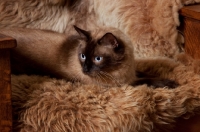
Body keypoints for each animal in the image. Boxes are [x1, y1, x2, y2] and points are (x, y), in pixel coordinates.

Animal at [0, 26, 178, 87]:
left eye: (97, 59)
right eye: (83, 56)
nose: (85, 70)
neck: (122, 70)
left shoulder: (131, 74)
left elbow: (147, 74)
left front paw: (167, 78)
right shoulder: (121, 85)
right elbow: (147, 80)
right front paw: (170, 83)